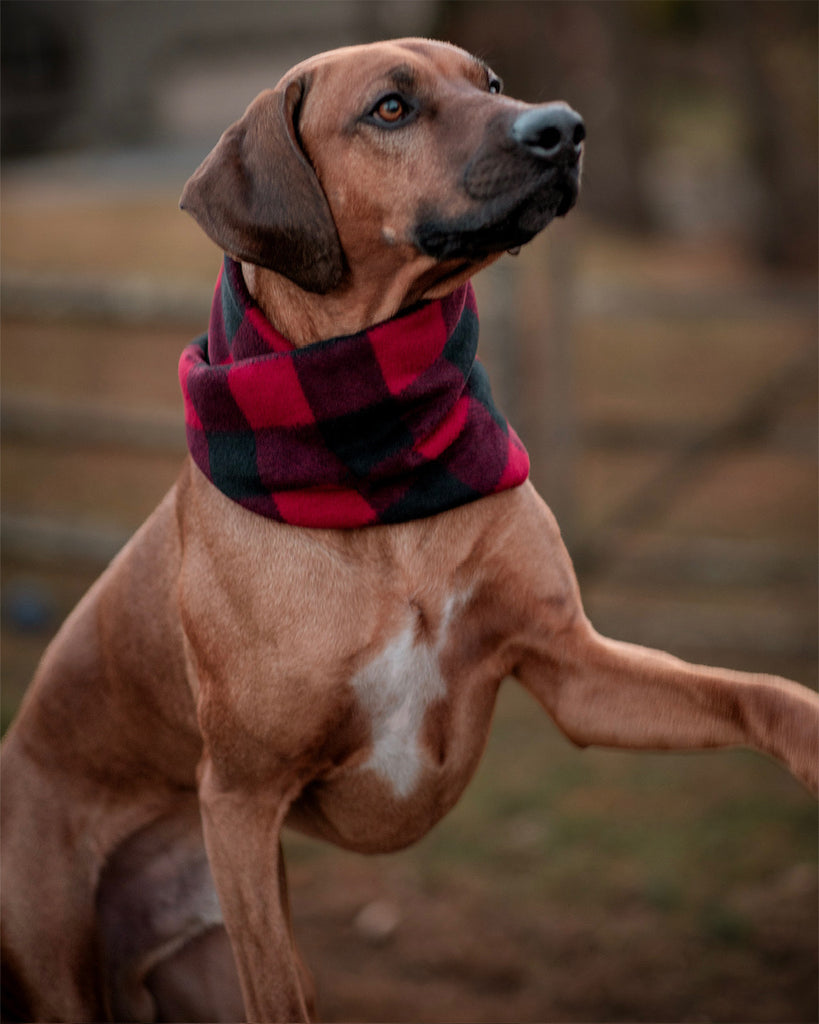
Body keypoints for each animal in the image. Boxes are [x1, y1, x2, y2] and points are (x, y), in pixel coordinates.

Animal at [1, 39, 818, 1024]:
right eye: (390, 109)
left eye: (491, 84)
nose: (563, 127)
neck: (372, 457)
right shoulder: (240, 799)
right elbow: (281, 997)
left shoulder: (568, 665)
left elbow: (755, 691)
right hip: (68, 954)